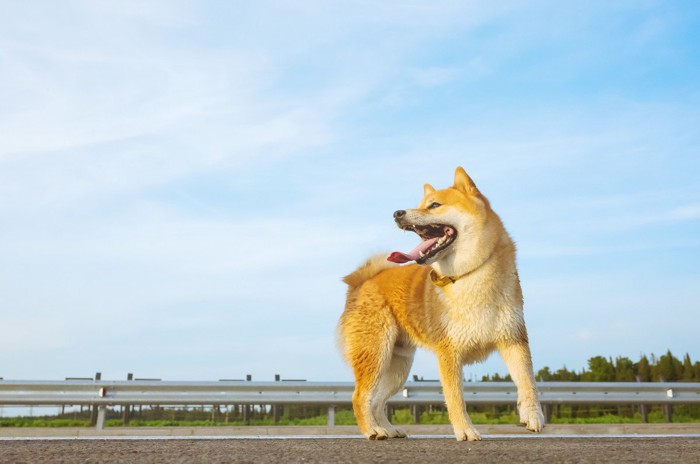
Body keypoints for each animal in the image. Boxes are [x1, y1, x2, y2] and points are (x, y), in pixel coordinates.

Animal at [336, 165, 544, 440]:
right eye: (419, 204)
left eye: (434, 205)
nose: (397, 213)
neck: (469, 275)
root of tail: (361, 282)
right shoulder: (449, 352)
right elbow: (456, 398)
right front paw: (465, 430)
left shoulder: (513, 338)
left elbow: (527, 381)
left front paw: (532, 415)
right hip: (375, 355)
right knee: (360, 397)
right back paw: (372, 430)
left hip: (398, 367)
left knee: (377, 401)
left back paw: (387, 429)